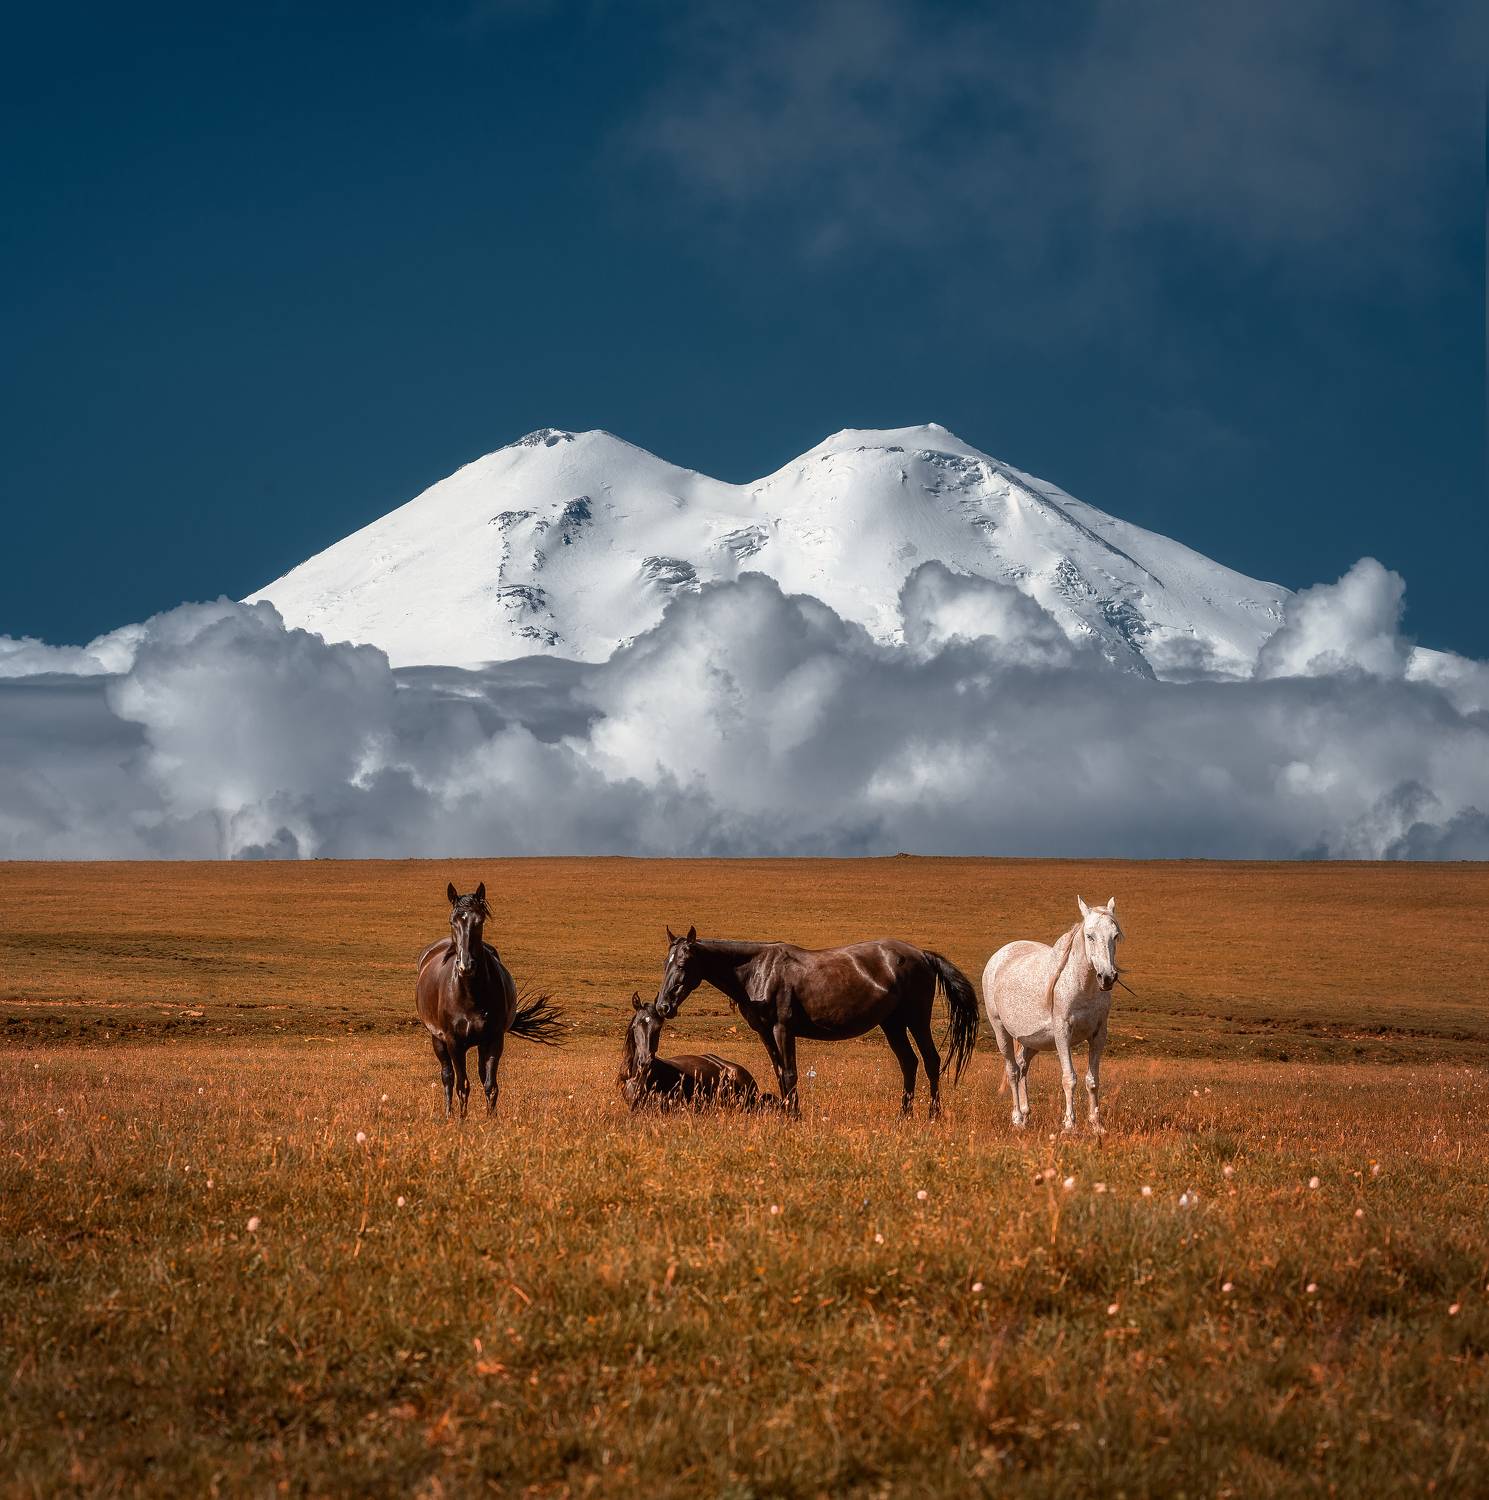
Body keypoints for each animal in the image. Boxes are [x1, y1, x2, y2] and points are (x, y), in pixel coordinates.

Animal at [414, 881, 564, 1118]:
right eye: (452, 921)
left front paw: (491, 1119)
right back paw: (448, 1114)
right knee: (447, 1077)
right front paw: (462, 1120)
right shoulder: (454, 1042)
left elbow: (490, 1084)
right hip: (437, 1039)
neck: (469, 994)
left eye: (480, 921)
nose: (466, 965)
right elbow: (461, 1085)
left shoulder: (493, 1039)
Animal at [651, 927, 979, 1118]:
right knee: (909, 1062)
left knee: (931, 1061)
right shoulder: (765, 1033)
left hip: (915, 1019)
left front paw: (794, 1116)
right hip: (892, 1024)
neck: (758, 971)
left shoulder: (783, 1029)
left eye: (684, 963)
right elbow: (780, 1072)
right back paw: (904, 1115)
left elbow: (791, 1073)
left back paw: (933, 1115)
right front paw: (786, 1112)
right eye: (665, 963)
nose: (664, 1006)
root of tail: (922, 954)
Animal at [982, 896, 1123, 1133]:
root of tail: (999, 956)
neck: (1083, 988)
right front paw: (1069, 1125)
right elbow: (1069, 1078)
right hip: (1000, 1029)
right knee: (1012, 1071)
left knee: (1022, 1067)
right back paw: (1017, 1118)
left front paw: (1097, 1125)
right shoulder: (1062, 1033)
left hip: (1031, 1041)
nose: (1107, 977)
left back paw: (1026, 1116)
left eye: (1115, 936)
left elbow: (1092, 1080)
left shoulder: (1098, 1035)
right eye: (1090, 936)